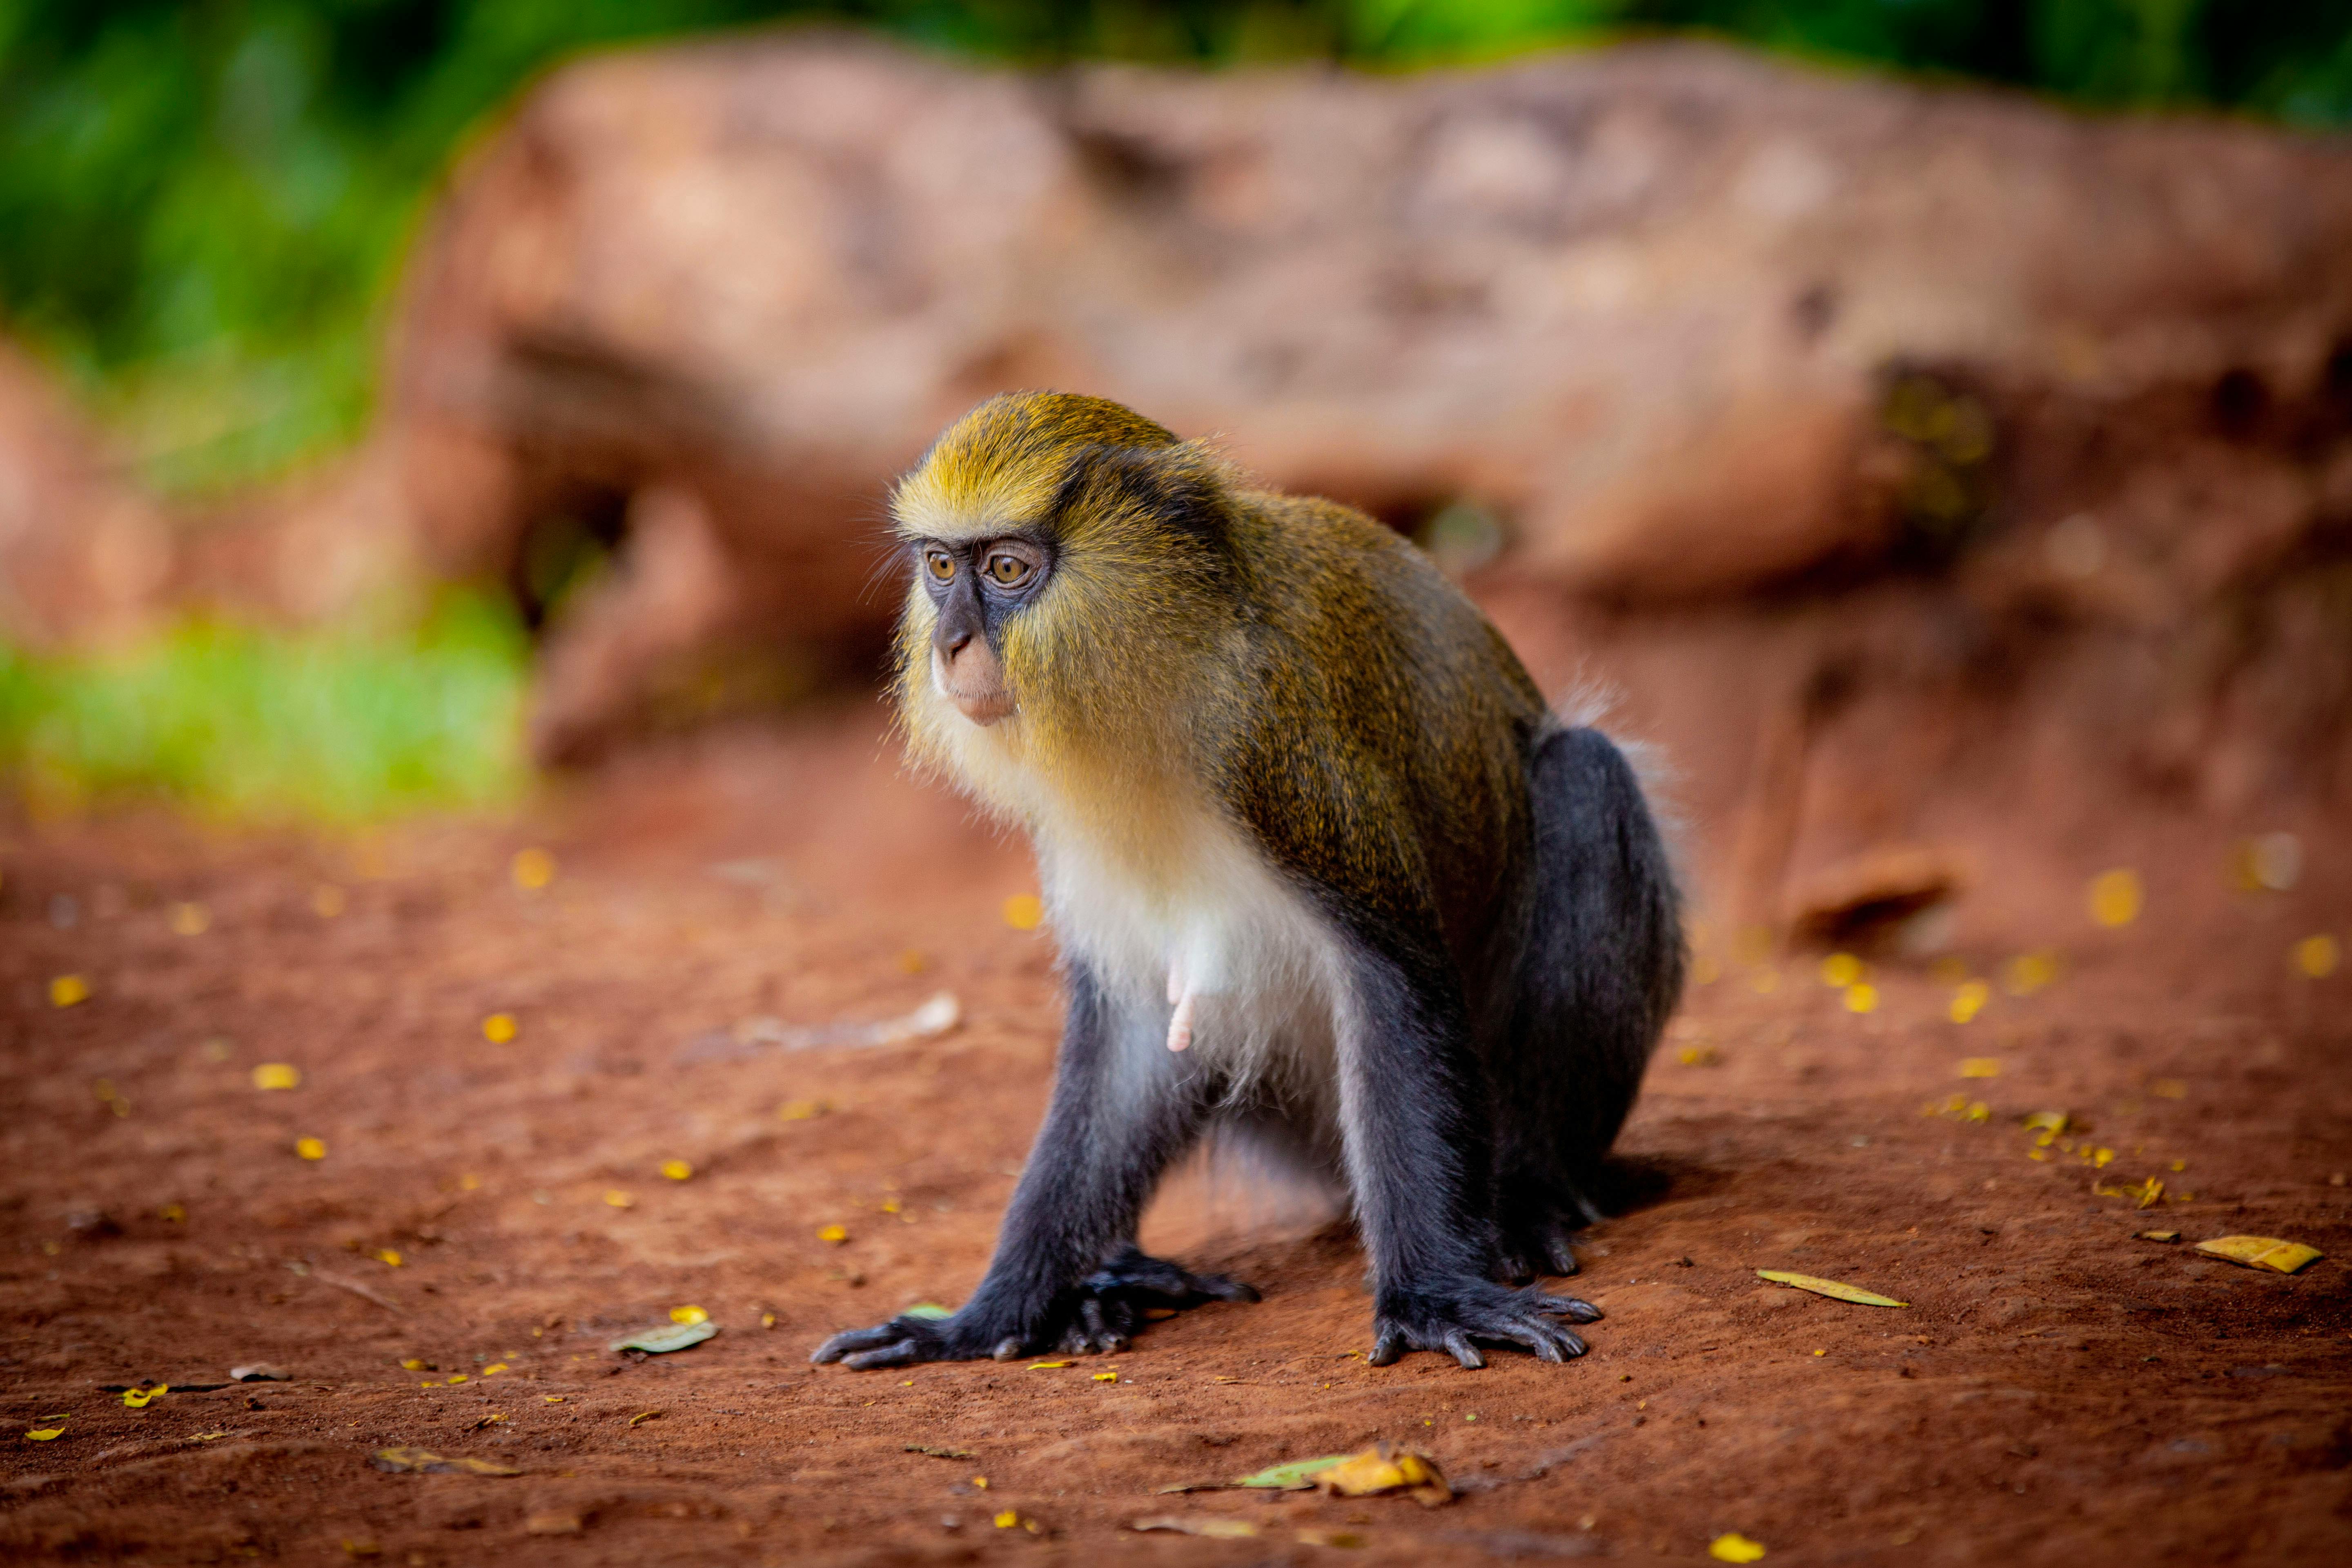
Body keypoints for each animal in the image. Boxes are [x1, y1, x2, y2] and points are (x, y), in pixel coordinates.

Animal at [813, 392, 1683, 1371]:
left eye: (1007, 569)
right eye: (938, 567)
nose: (952, 642)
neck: (1167, 660)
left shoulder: (1282, 748)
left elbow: (1390, 971)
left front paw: (1433, 1298)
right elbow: (1137, 1043)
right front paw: (984, 1316)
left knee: (1585, 776)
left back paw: (1533, 1194)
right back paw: (1111, 1286)